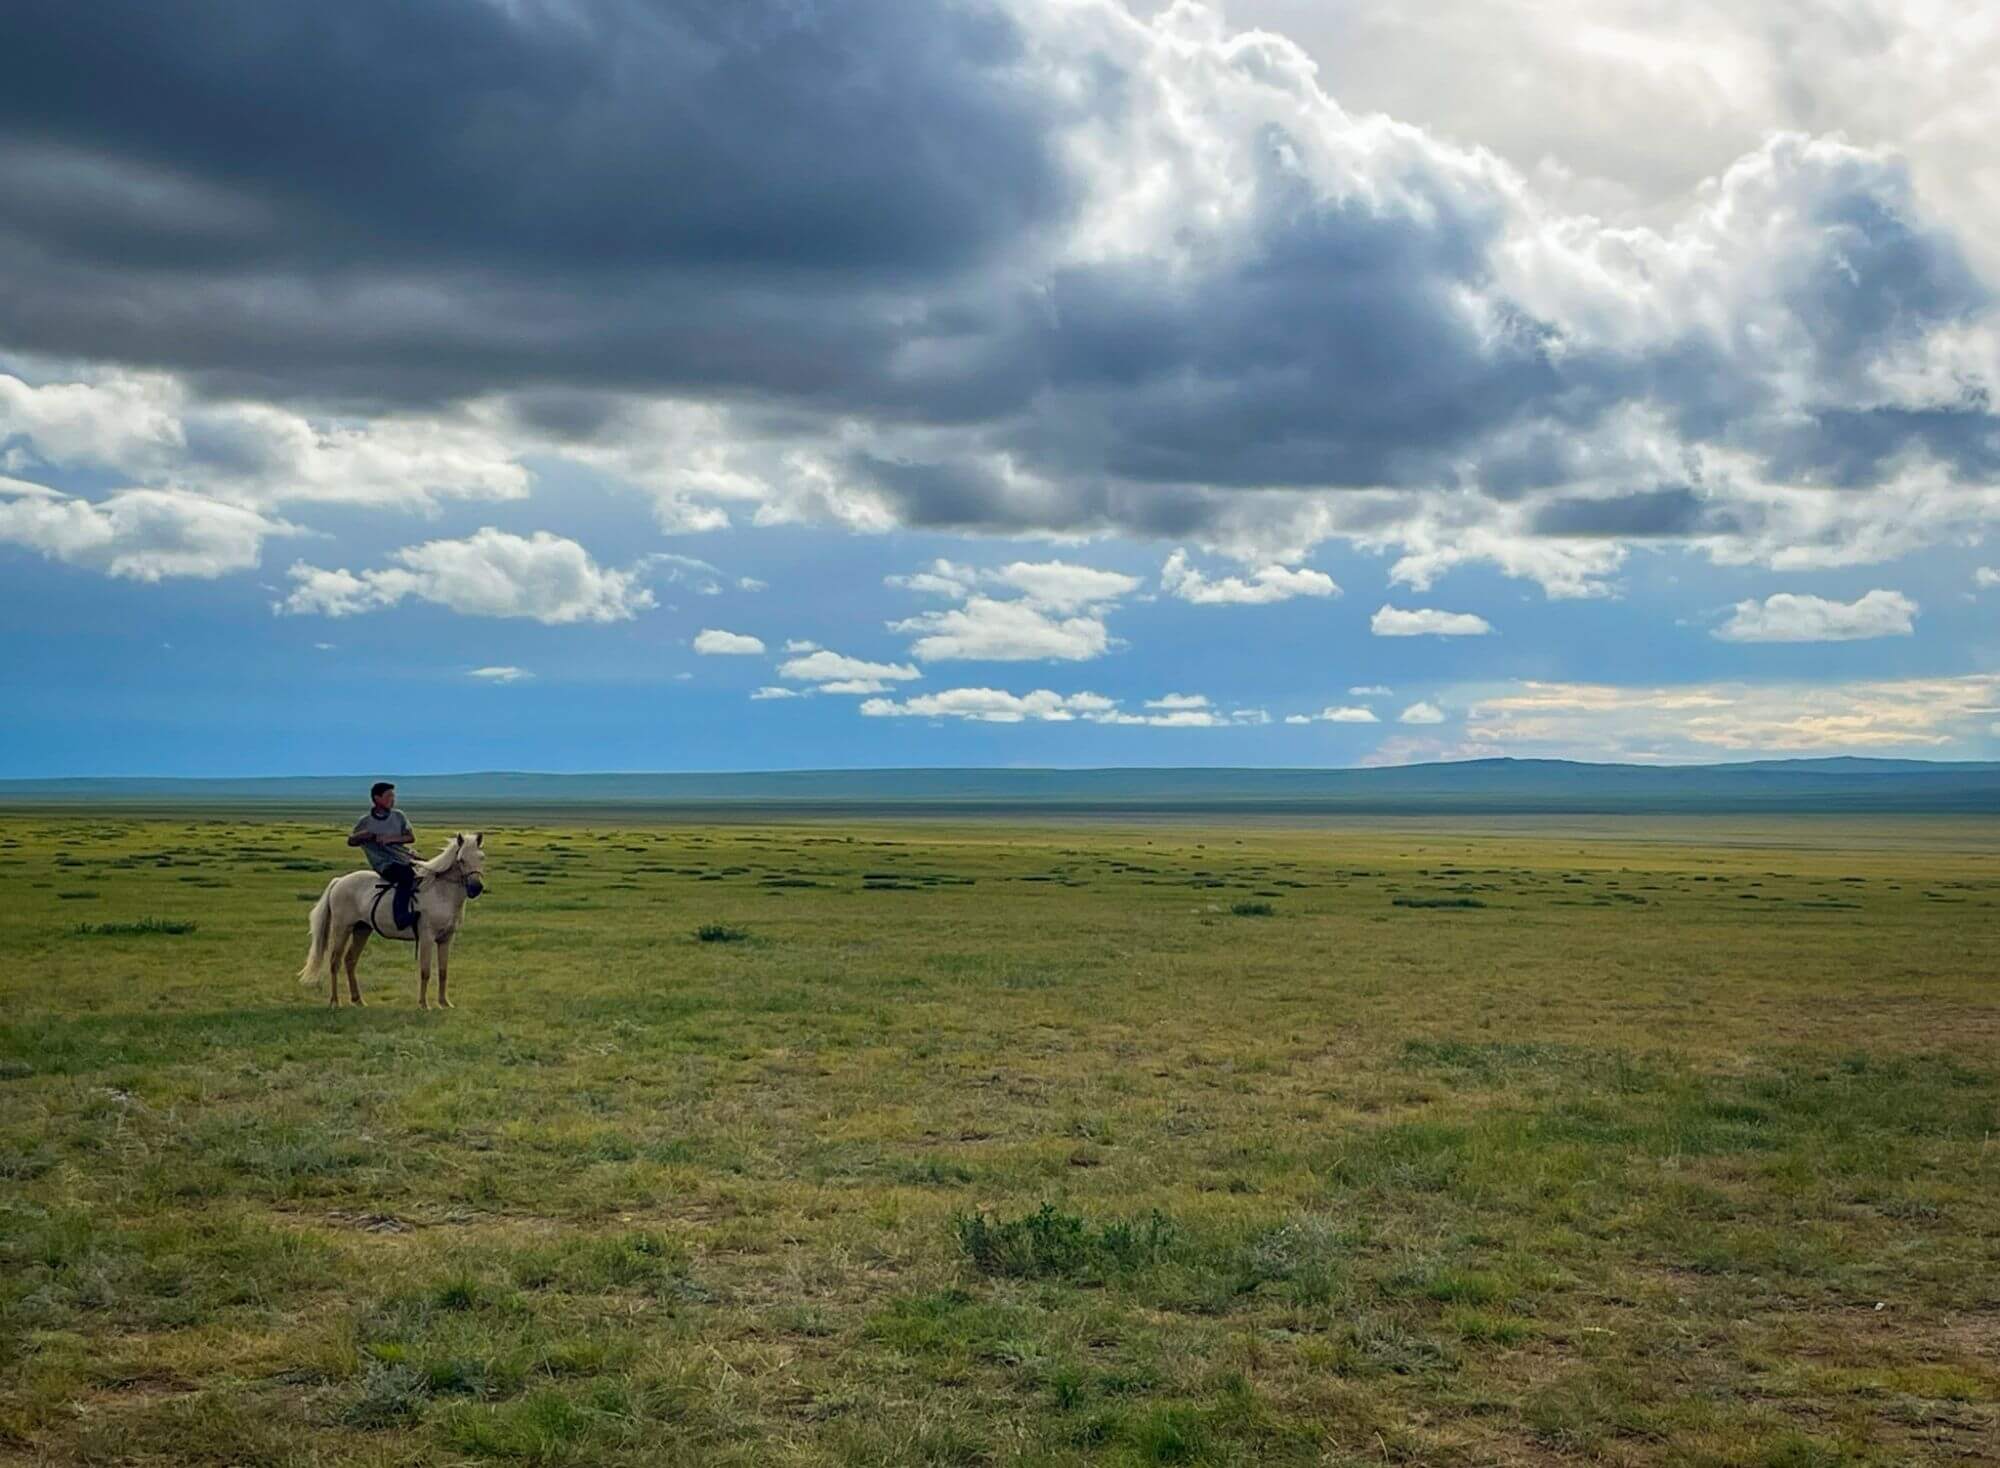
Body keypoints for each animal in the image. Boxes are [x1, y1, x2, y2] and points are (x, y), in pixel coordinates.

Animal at [299, 833, 488, 1009]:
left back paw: (358, 1000)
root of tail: (339, 881)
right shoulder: (427, 938)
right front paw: (423, 1004)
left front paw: (444, 1003)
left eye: (481, 858)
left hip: (362, 929)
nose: (476, 888)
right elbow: (425, 971)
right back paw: (335, 1001)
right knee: (334, 962)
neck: (441, 893)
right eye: (461, 860)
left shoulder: (446, 939)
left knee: (350, 961)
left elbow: (443, 972)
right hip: (342, 928)